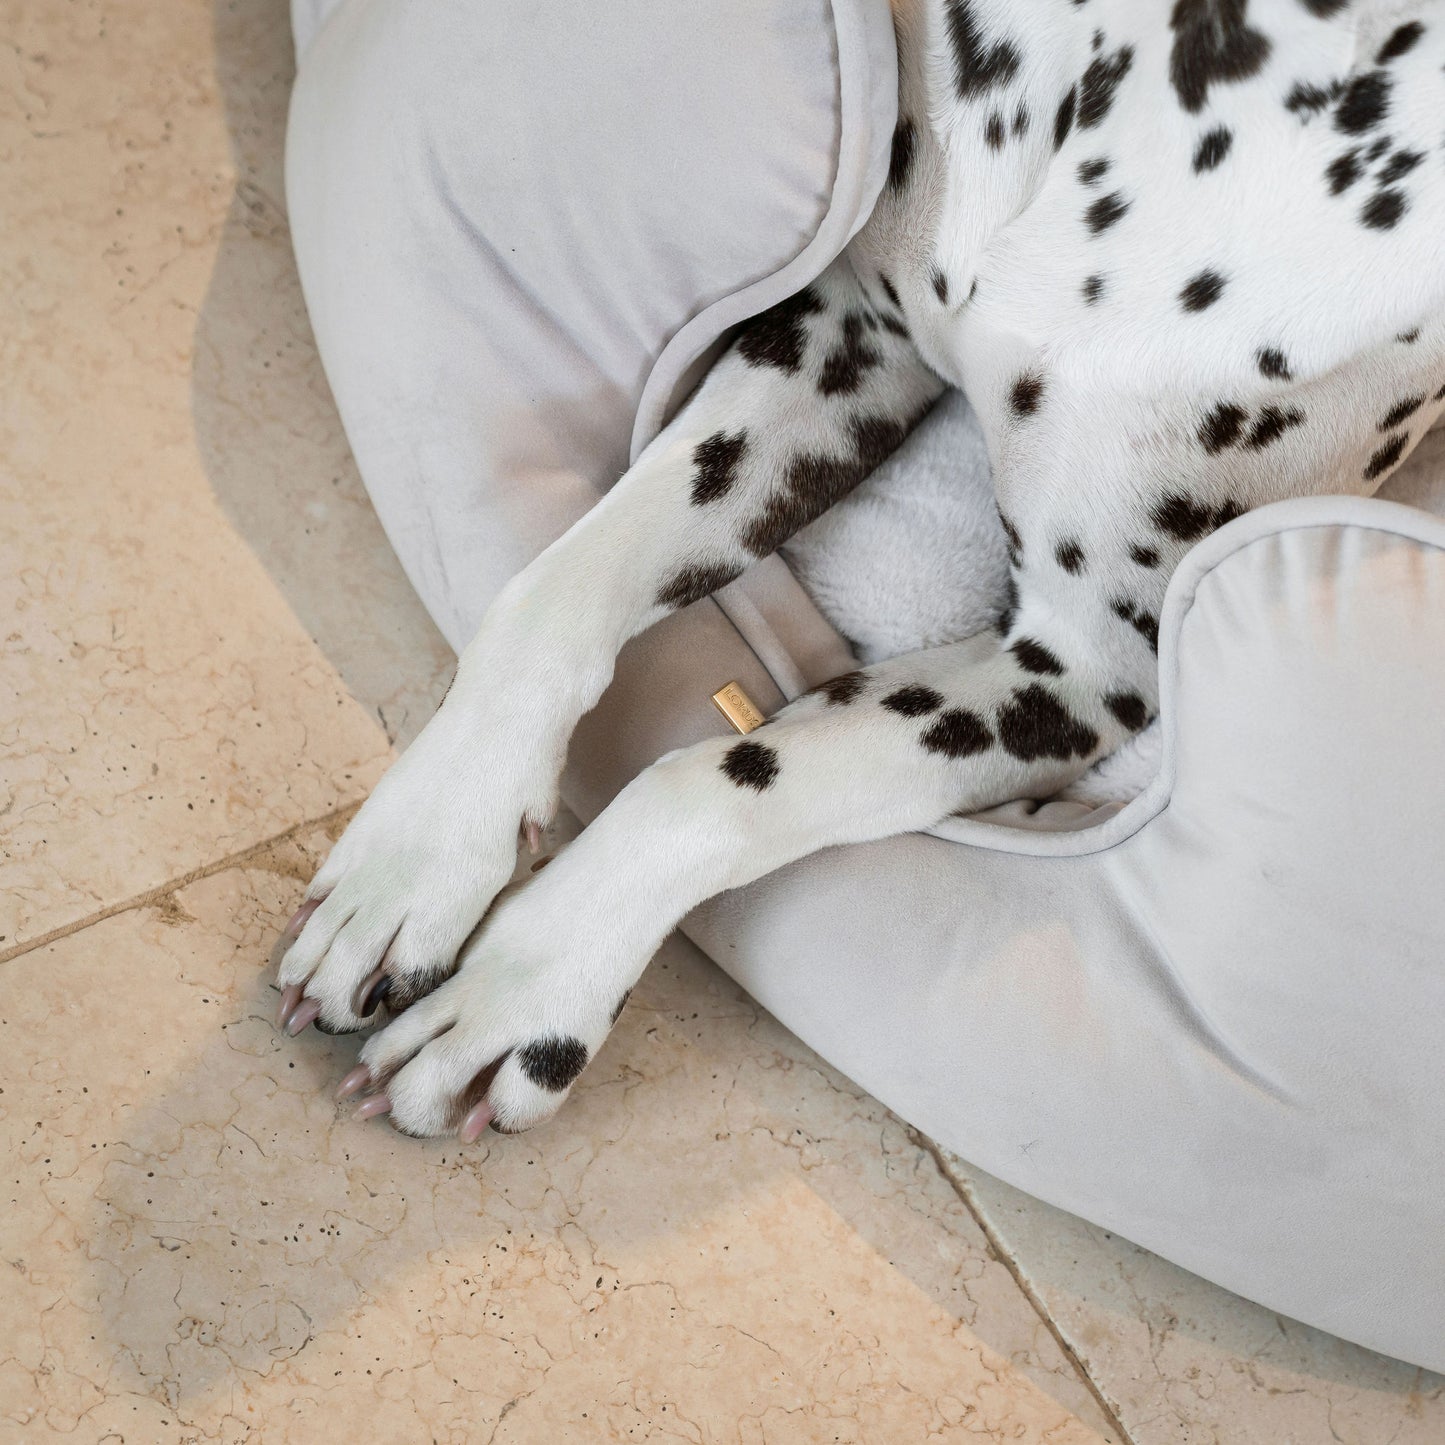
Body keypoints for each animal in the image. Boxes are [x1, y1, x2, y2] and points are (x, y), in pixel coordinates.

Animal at [271, 2, 1445, 1138]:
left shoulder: (1079, 670)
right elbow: (552, 592)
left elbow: (716, 783)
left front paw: (518, 988)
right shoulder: (843, 337)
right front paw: (410, 867)